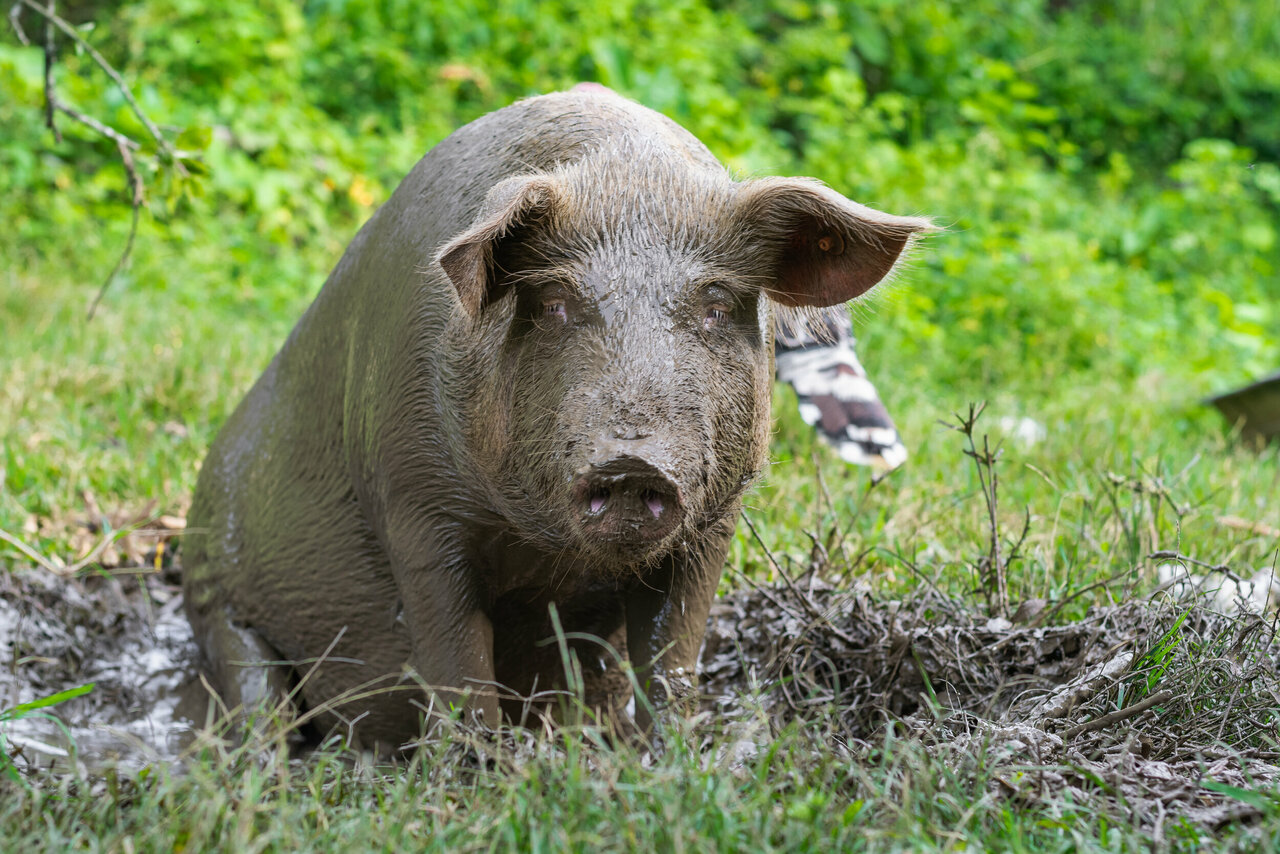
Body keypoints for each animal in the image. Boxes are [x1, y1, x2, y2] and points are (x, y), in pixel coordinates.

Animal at [182, 86, 933, 751]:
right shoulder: (413, 494)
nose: (631, 461)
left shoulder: (714, 519)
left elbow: (672, 656)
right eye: (553, 301)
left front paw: (670, 760)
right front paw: (475, 774)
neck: (554, 563)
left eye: (717, 304)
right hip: (215, 590)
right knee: (253, 699)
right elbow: (455, 662)